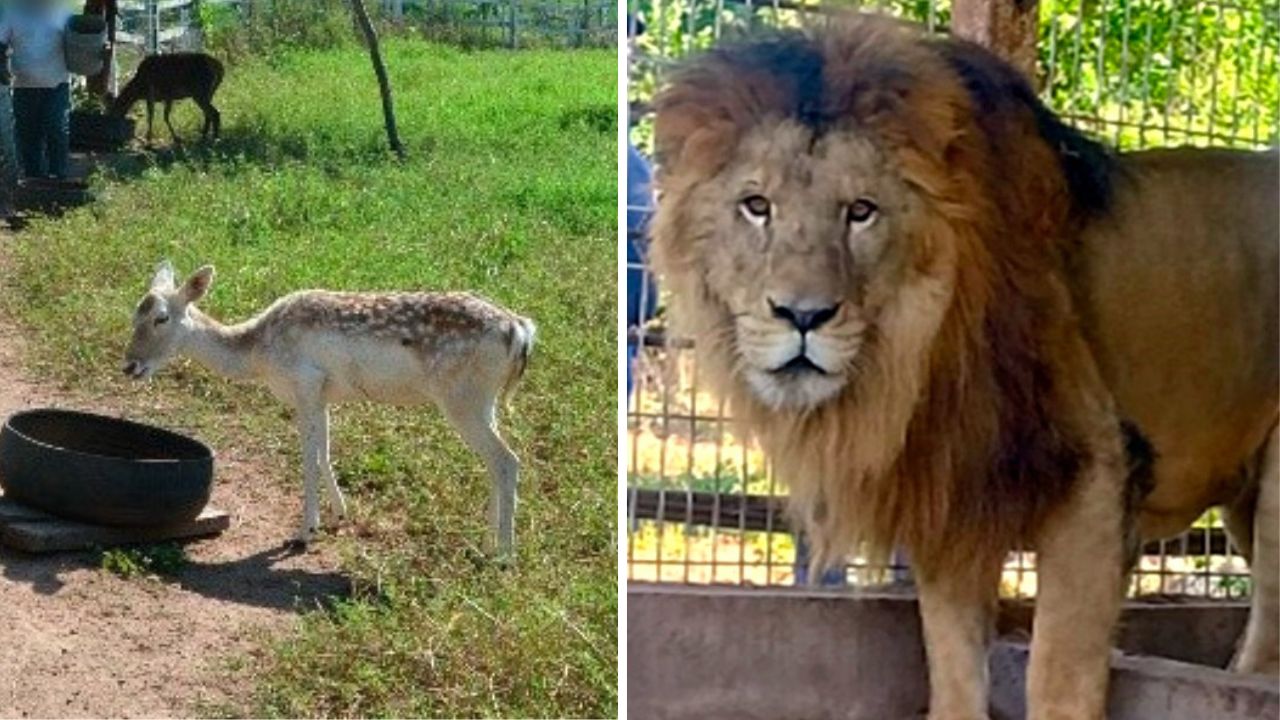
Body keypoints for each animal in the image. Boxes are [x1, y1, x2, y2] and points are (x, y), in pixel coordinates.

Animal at [122, 260, 532, 550]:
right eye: (134, 314)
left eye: (161, 318)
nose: (130, 366)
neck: (258, 354)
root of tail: (520, 330)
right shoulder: (323, 394)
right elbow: (324, 452)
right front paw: (338, 516)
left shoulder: (305, 383)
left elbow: (308, 456)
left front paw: (304, 532)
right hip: (484, 401)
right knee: (494, 462)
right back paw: (485, 542)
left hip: (462, 398)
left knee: (507, 460)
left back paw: (504, 555)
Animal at [650, 12, 1280, 717]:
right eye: (756, 205)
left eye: (861, 211)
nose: (802, 315)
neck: (914, 361)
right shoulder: (951, 493)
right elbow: (952, 670)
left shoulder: (1097, 476)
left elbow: (1057, 677)